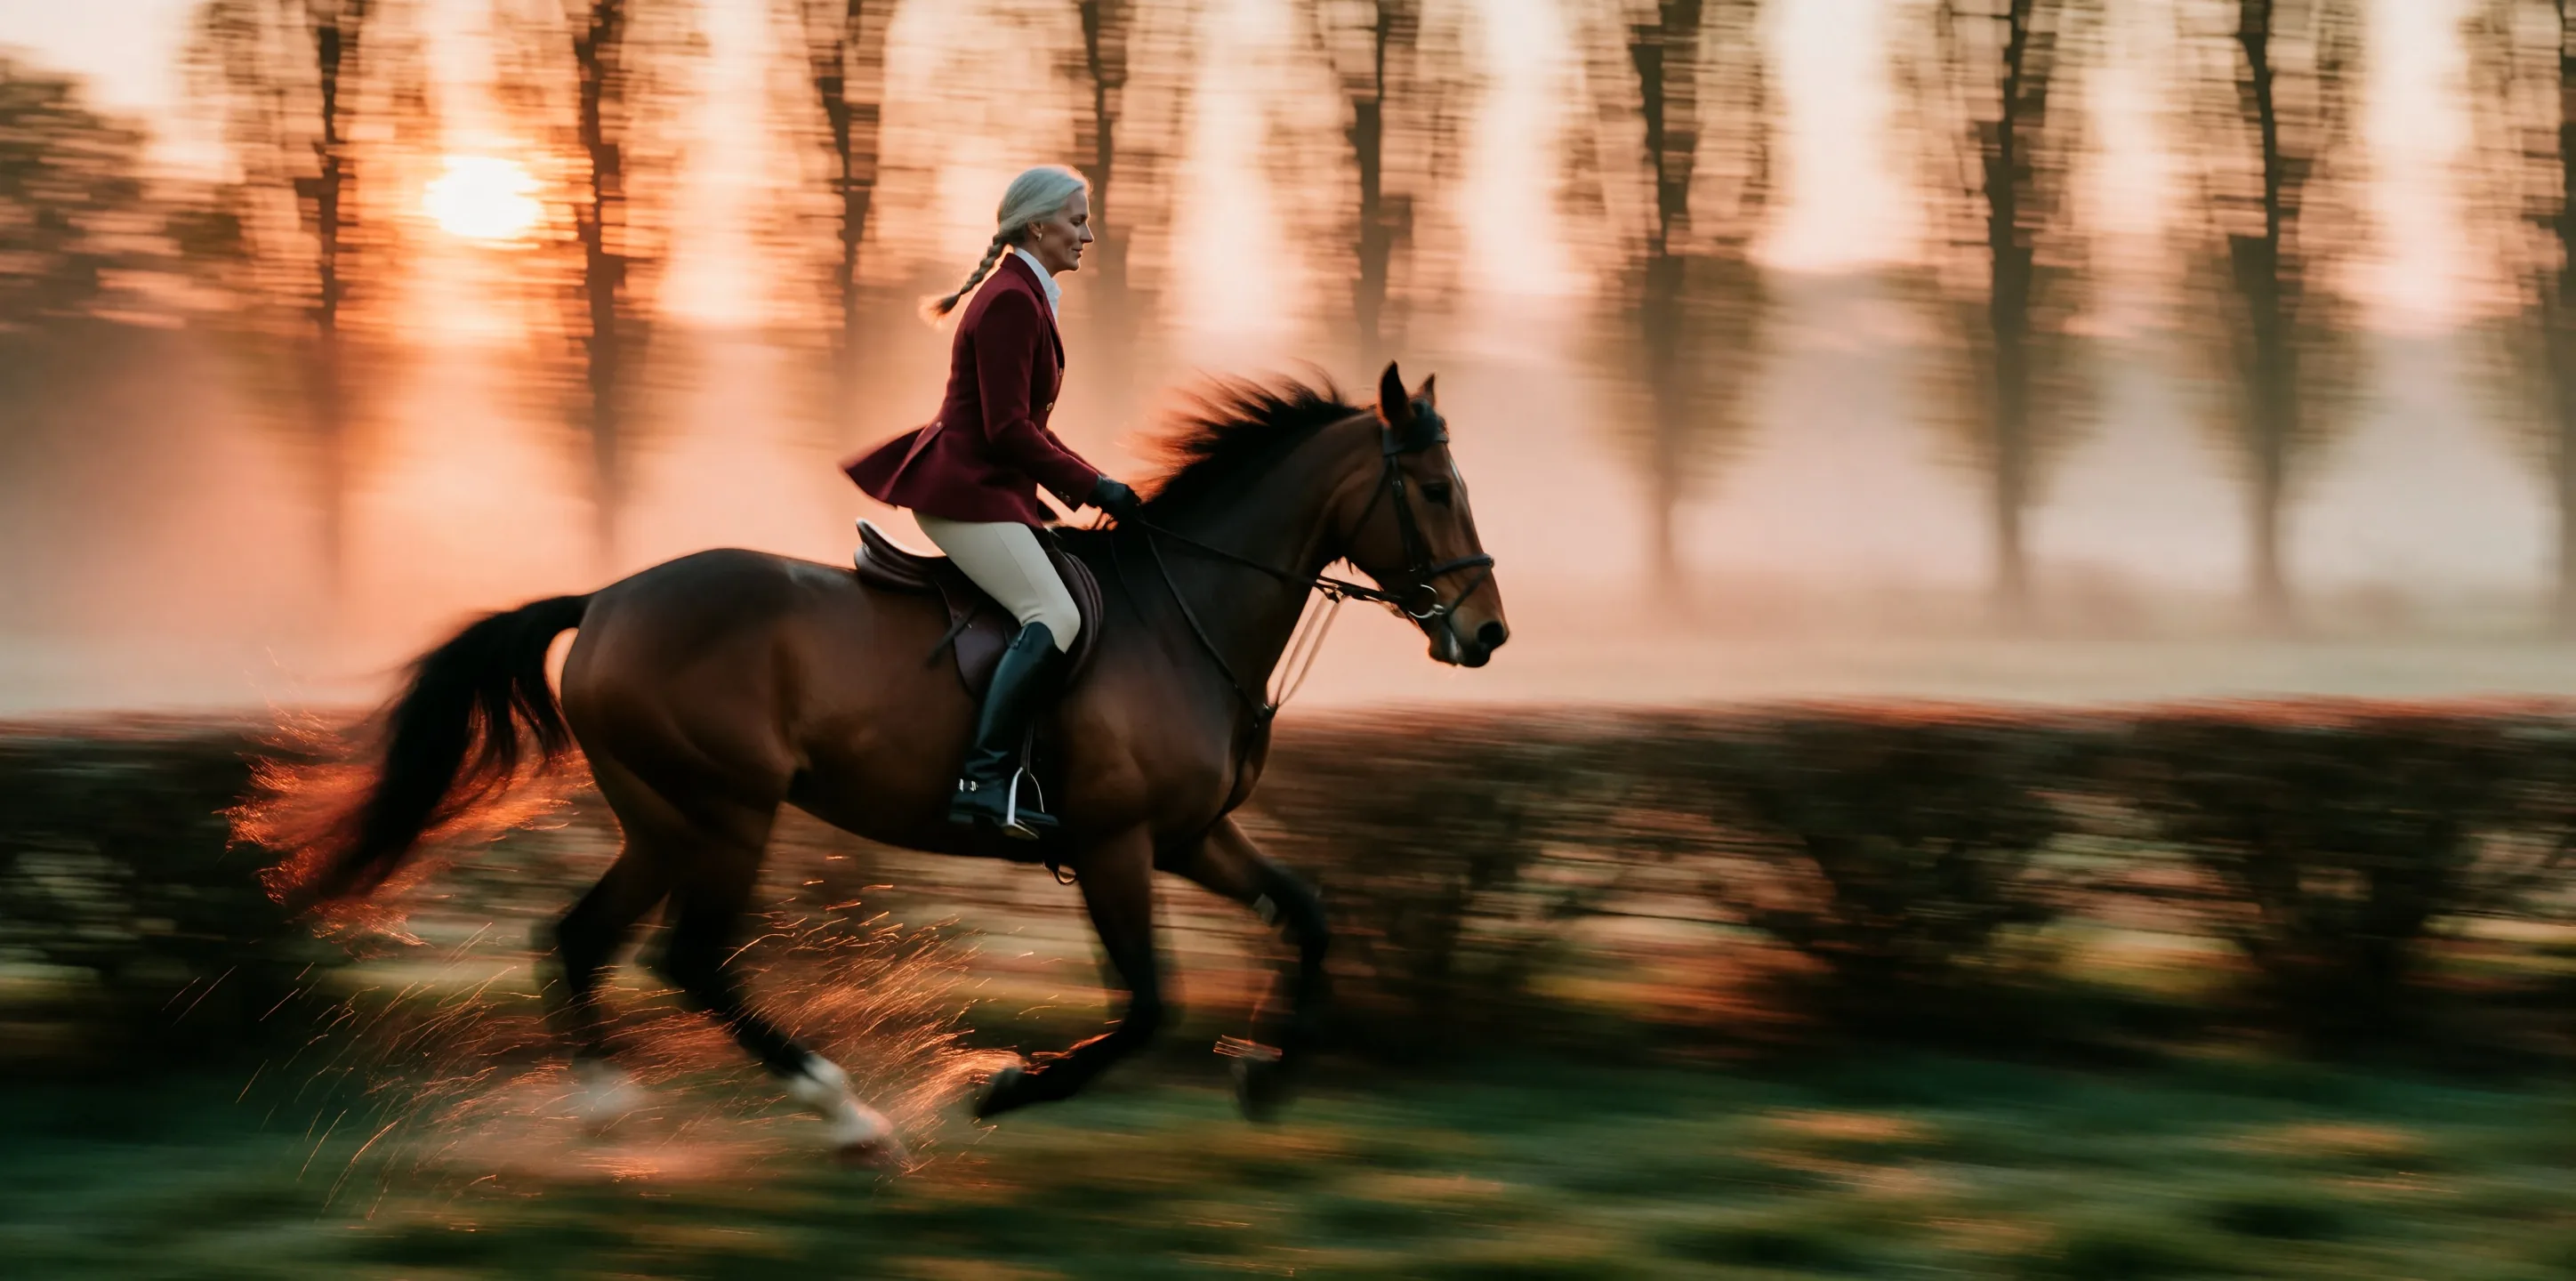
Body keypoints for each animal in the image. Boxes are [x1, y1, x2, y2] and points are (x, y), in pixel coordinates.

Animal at [250, 362, 1508, 1163]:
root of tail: (606, 599)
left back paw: (609, 1113)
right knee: (687, 960)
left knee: (578, 940)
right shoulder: (1115, 844)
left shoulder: (1192, 835)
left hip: (662, 817)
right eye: (1433, 490)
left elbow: (1310, 917)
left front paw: (1264, 1073)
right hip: (726, 810)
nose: (1485, 634)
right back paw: (849, 1119)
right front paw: (1004, 1086)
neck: (1182, 613)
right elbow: (1148, 1004)